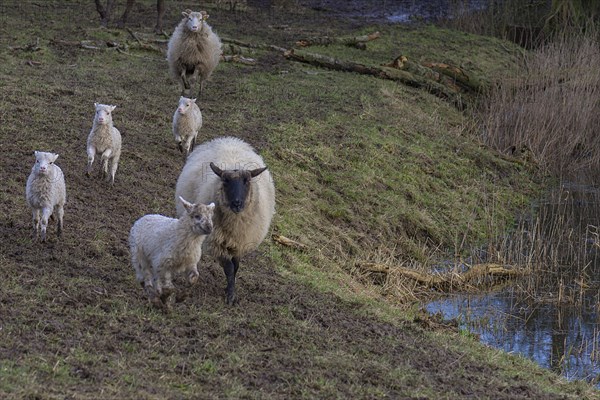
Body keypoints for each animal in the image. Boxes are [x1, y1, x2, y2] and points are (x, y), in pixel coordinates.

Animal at [175, 136, 276, 304]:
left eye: (246, 181)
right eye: (225, 182)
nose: (237, 203)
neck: (234, 225)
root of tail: (227, 139)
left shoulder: (240, 243)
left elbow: (236, 266)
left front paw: (230, 288)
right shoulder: (216, 242)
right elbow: (229, 268)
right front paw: (230, 296)